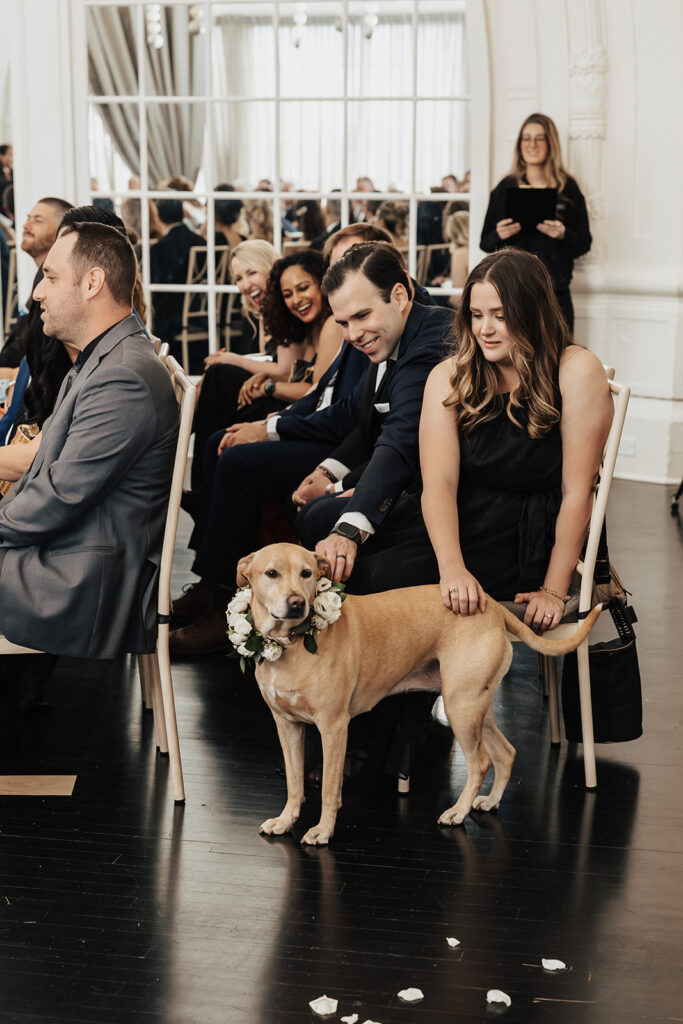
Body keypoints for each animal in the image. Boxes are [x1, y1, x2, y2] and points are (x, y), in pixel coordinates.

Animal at [235, 543, 601, 846]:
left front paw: (323, 831)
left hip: (461, 709)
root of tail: (493, 606)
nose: (297, 603)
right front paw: (285, 821)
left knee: (481, 762)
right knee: (506, 753)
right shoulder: (287, 726)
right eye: (272, 573)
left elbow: (328, 788)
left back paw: (458, 812)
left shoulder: (334, 727)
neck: (291, 644)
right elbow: (294, 783)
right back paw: (490, 801)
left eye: (307, 573)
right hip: (474, 706)